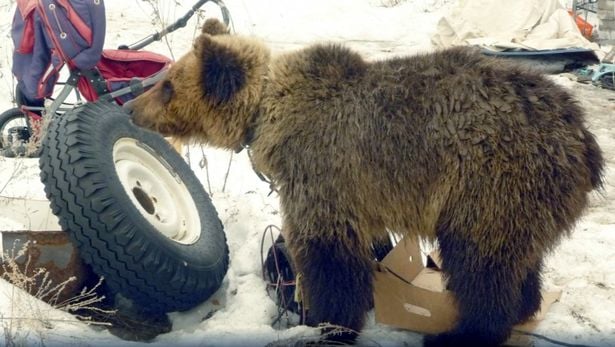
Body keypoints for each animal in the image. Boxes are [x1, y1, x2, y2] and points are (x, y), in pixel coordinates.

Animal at [129, 19, 608, 347]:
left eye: (167, 85)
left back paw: (460, 333)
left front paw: (329, 324)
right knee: (517, 261)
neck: (266, 112)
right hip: (525, 201)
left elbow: (330, 256)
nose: (132, 107)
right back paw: (523, 306)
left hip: (490, 181)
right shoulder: (357, 187)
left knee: (480, 265)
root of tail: (583, 137)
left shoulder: (323, 170)